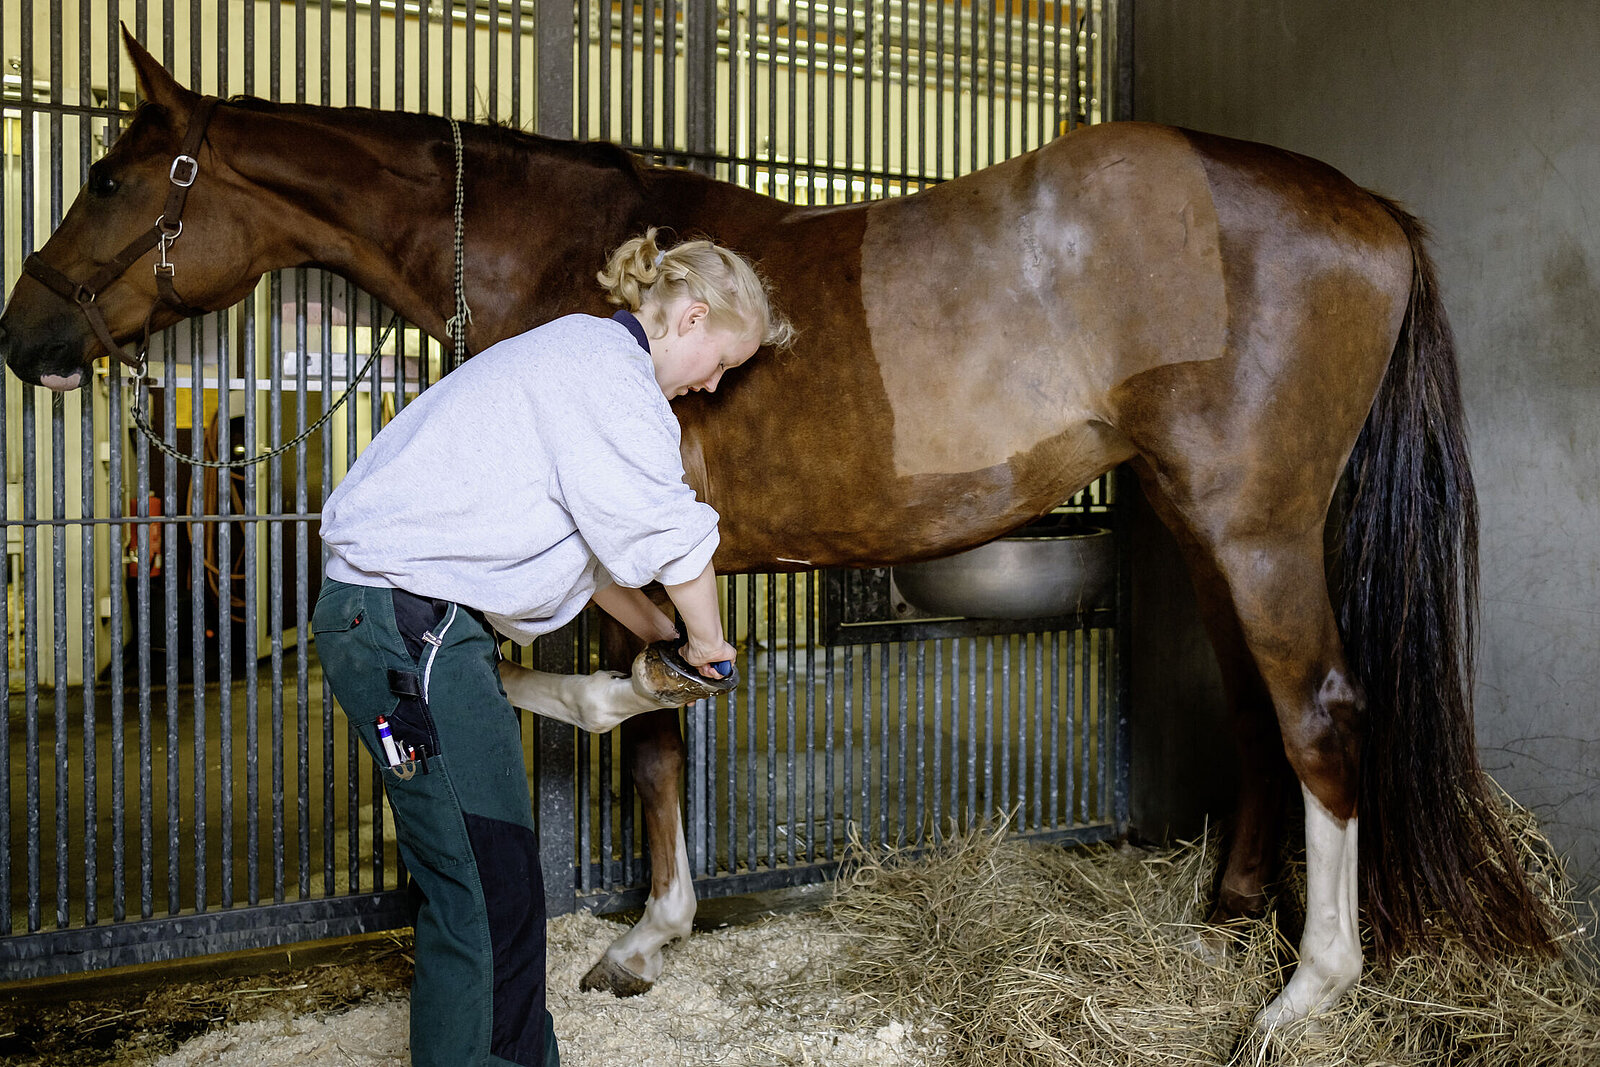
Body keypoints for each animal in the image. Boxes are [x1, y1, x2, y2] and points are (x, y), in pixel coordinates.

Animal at [0, 33, 1548, 1030]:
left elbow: (645, 725)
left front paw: (637, 919)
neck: (587, 274)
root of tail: (1366, 210)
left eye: (110, 177)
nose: (26, 338)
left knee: (1321, 711)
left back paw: (1305, 993)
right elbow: (668, 724)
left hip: (1257, 525)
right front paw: (655, 919)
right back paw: (1226, 913)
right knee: (1252, 705)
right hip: (1203, 525)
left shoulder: (626, 550)